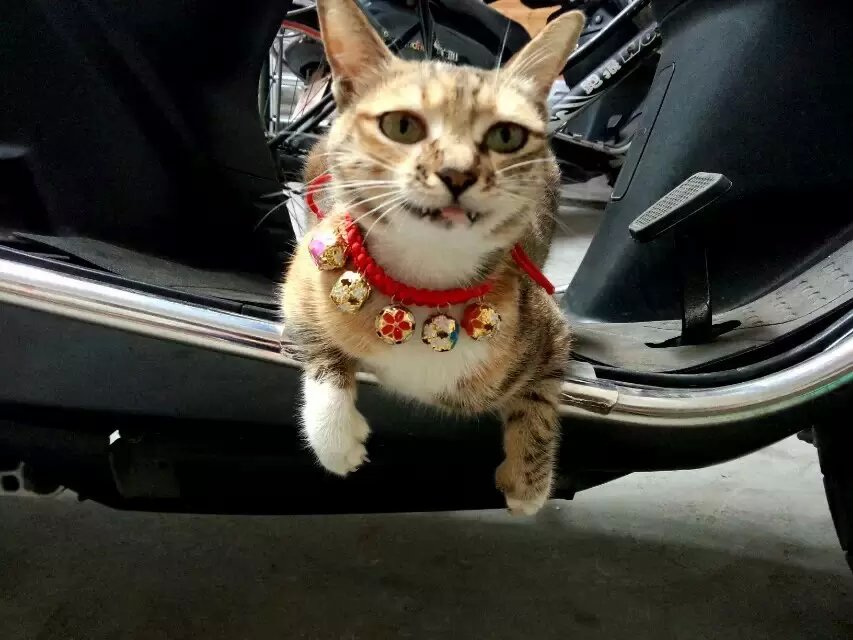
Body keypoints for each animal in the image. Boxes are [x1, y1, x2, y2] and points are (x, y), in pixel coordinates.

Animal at [282, 0, 583, 514]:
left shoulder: (548, 330)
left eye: (506, 136)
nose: (458, 173)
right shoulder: (307, 270)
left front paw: (527, 486)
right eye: (401, 125)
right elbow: (314, 339)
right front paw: (337, 437)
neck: (422, 289)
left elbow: (541, 404)